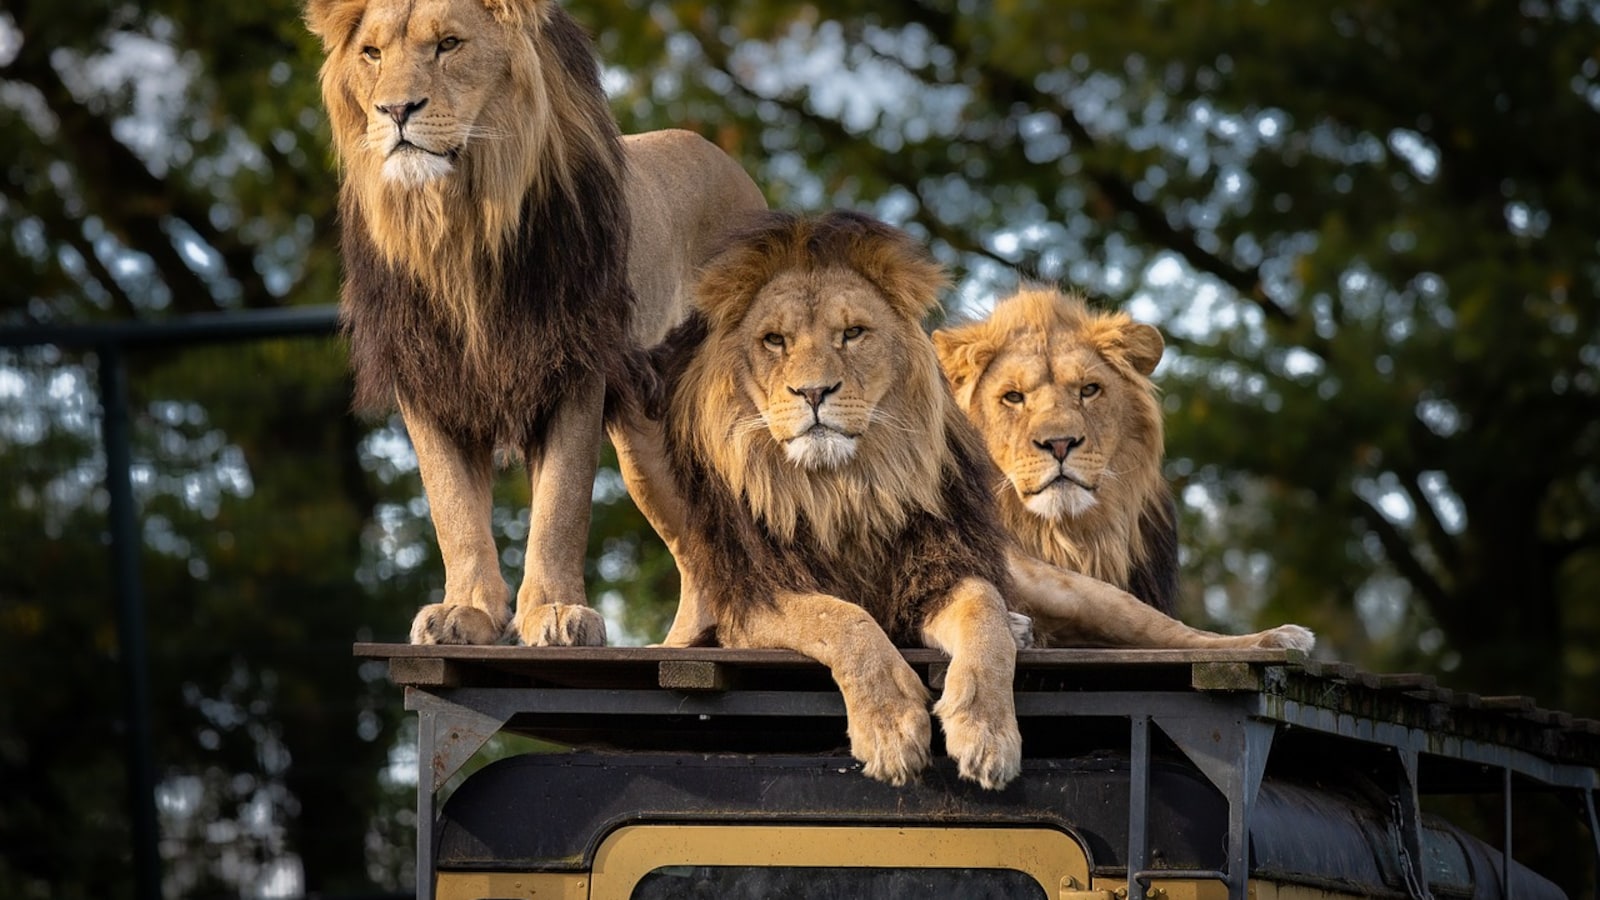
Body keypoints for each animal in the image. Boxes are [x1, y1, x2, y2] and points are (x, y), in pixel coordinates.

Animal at [304, 0, 765, 646]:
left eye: (449, 44)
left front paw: (553, 610)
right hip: (647, 444)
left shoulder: (574, 365)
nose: (394, 110)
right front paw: (466, 610)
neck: (458, 227)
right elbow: (451, 507)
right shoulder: (426, 375)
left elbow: (560, 505)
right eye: (372, 54)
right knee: (699, 550)